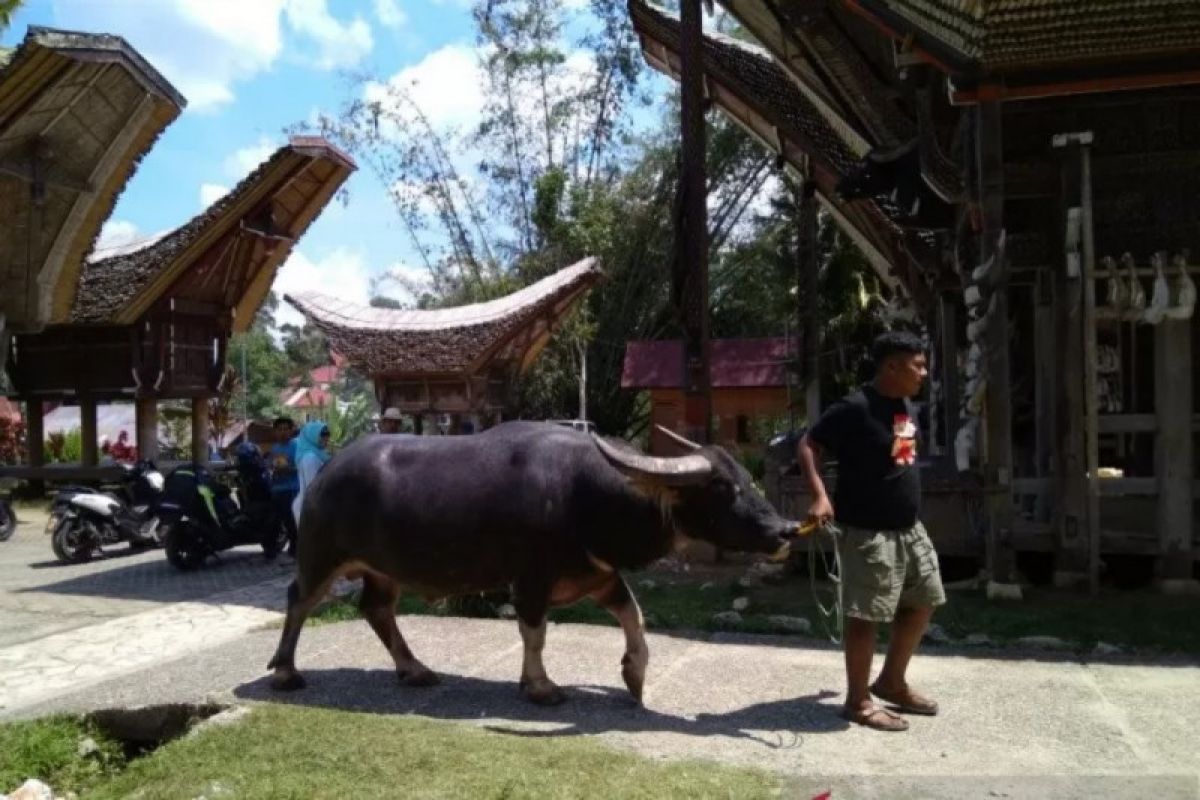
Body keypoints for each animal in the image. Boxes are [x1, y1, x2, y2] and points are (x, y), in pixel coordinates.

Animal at [270, 422, 796, 705]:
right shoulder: (531, 580)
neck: (583, 494)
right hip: (319, 556)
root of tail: (325, 475)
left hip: (383, 570)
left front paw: (634, 675)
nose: (786, 530)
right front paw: (541, 687)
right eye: (722, 488)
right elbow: (535, 632)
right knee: (298, 601)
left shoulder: (598, 575)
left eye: (747, 477)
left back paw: (415, 669)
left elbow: (635, 617)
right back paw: (285, 673)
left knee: (377, 609)